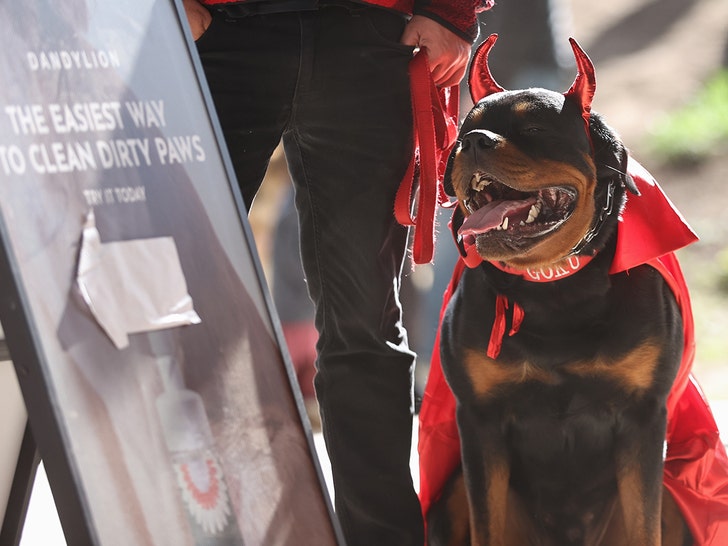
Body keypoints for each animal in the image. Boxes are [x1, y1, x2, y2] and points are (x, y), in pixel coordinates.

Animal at [426, 35, 692, 544]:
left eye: (534, 127)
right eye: (463, 129)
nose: (473, 140)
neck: (553, 289)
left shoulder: (644, 415)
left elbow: (644, 522)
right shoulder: (479, 420)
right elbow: (486, 523)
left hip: (672, 493)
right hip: (449, 496)